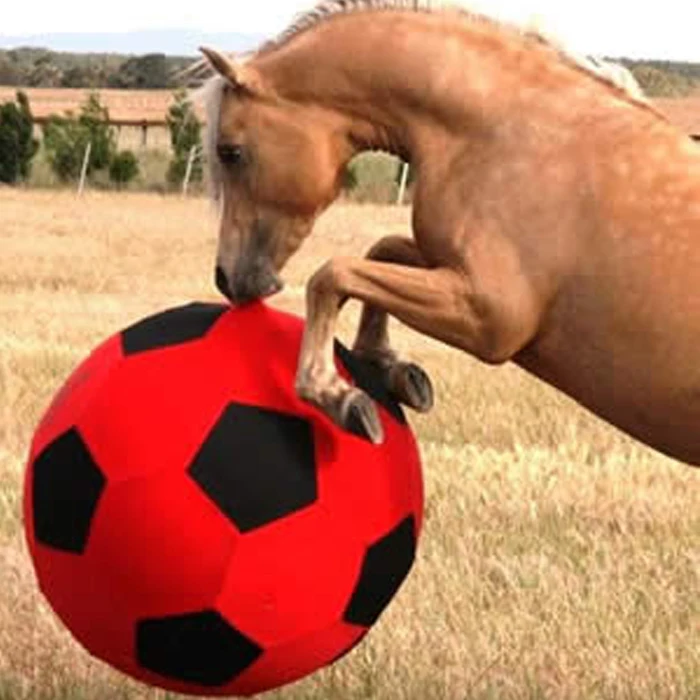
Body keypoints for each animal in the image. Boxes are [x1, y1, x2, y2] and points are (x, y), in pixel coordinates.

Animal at [198, 1, 700, 467]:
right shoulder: (452, 273)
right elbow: (382, 249)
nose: (228, 280)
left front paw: (340, 398)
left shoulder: (488, 318)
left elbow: (333, 275)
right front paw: (391, 369)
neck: (504, 133)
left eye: (230, 151)